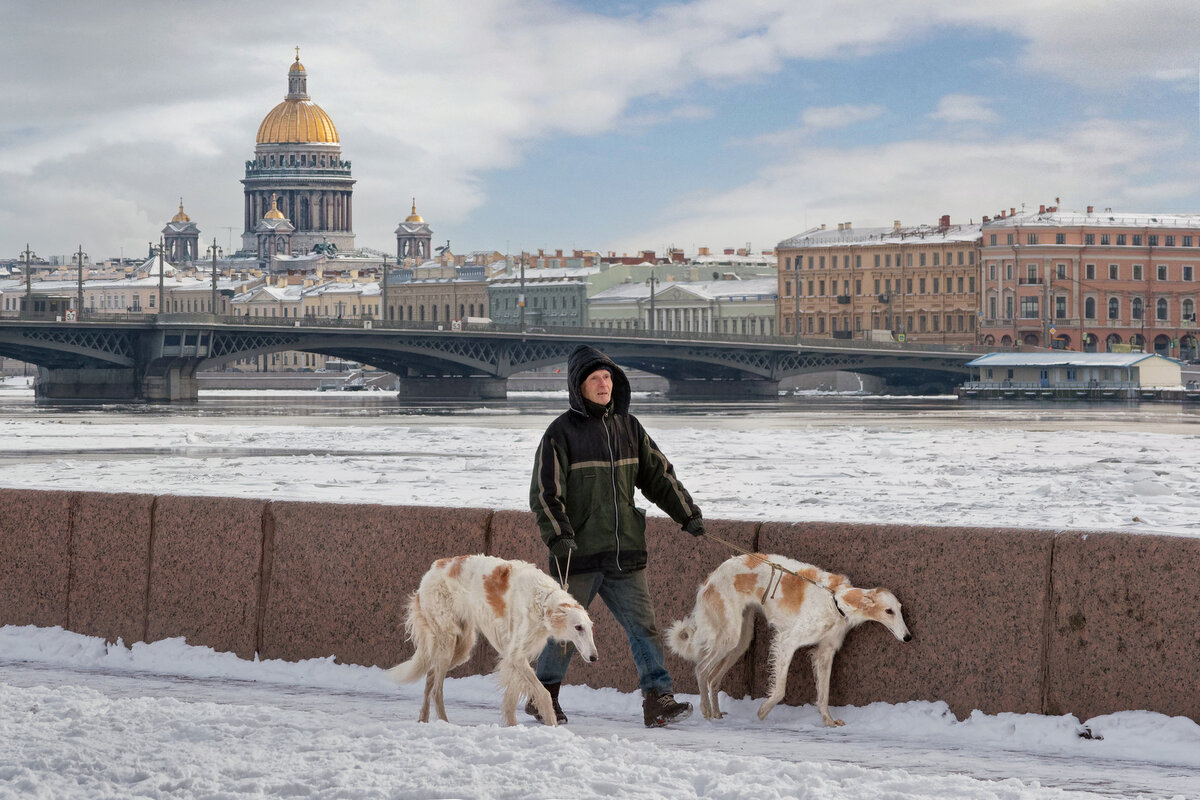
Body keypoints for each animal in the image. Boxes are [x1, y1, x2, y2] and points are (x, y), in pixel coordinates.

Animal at [386, 556, 597, 724]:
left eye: (590, 628)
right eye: (578, 627)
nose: (594, 657)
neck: (543, 601)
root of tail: (432, 569)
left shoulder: (514, 660)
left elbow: (511, 701)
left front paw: (513, 728)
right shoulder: (516, 656)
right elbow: (543, 694)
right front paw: (552, 725)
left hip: (461, 648)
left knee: (430, 676)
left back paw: (424, 719)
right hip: (447, 642)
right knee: (436, 689)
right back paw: (445, 723)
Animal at [667, 554, 907, 729]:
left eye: (900, 609)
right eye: (889, 611)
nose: (908, 637)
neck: (836, 600)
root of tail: (711, 577)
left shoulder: (825, 652)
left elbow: (824, 693)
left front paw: (828, 720)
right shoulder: (786, 641)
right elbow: (780, 689)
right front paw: (762, 712)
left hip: (741, 640)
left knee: (713, 678)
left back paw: (716, 712)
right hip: (728, 636)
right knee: (701, 670)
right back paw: (706, 710)